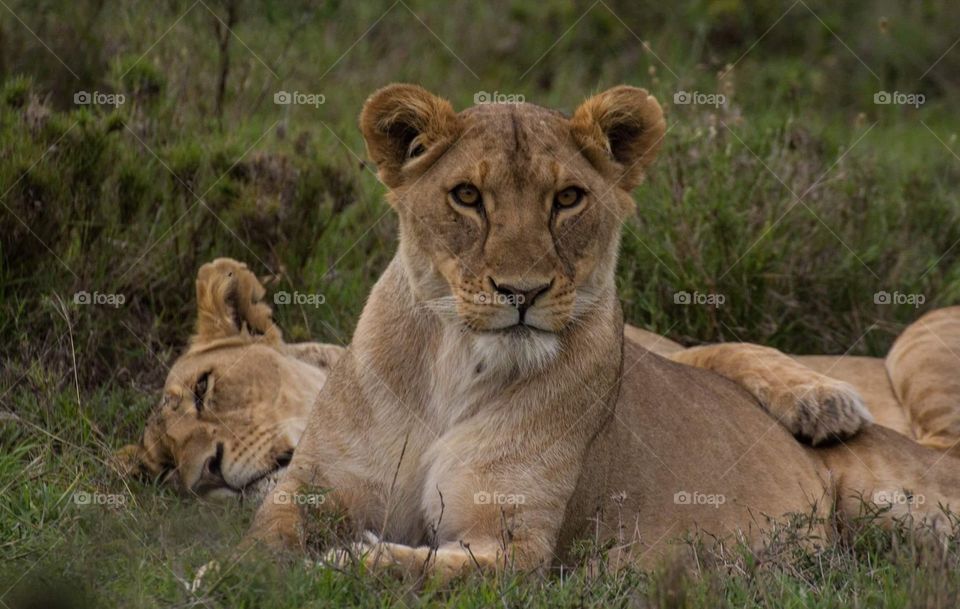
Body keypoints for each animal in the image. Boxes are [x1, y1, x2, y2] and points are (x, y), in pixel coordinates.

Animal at [222, 84, 960, 578]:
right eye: (467, 196)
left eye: (568, 199)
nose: (521, 291)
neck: (455, 369)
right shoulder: (310, 489)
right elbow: (254, 548)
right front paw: (232, 572)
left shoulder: (516, 547)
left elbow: (411, 568)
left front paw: (343, 560)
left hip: (891, 506)